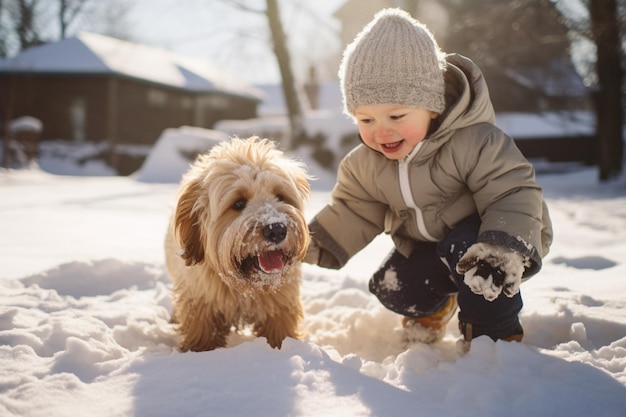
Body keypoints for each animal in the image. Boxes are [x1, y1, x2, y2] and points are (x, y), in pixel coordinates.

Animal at [165, 136, 310, 352]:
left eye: (280, 196)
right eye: (239, 203)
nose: (276, 229)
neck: (246, 285)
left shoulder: (281, 303)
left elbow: (279, 329)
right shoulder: (200, 299)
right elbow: (202, 331)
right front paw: (199, 351)